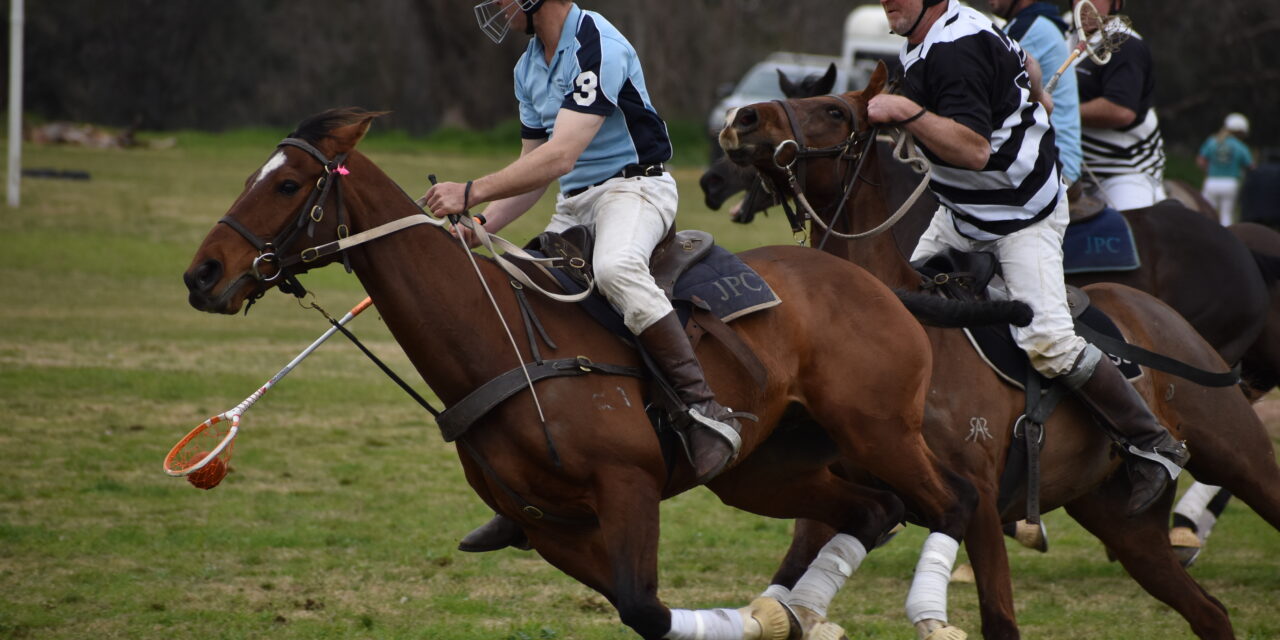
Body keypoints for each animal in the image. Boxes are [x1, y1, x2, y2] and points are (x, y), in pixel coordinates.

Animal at [183, 108, 1008, 640]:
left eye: (288, 186)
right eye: (256, 176)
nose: (201, 276)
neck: (501, 343)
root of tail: (881, 287)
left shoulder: (628, 487)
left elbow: (647, 608)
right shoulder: (548, 524)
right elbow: (637, 609)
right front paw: (767, 619)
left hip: (879, 428)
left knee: (956, 500)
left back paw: (930, 616)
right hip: (765, 467)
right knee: (873, 510)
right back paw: (797, 611)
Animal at [721, 62, 1280, 637]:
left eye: (833, 110)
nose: (743, 118)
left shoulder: (982, 503)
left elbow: (999, 617)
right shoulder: (836, 499)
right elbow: (786, 588)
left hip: (1238, 453)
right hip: (1124, 524)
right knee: (1209, 611)